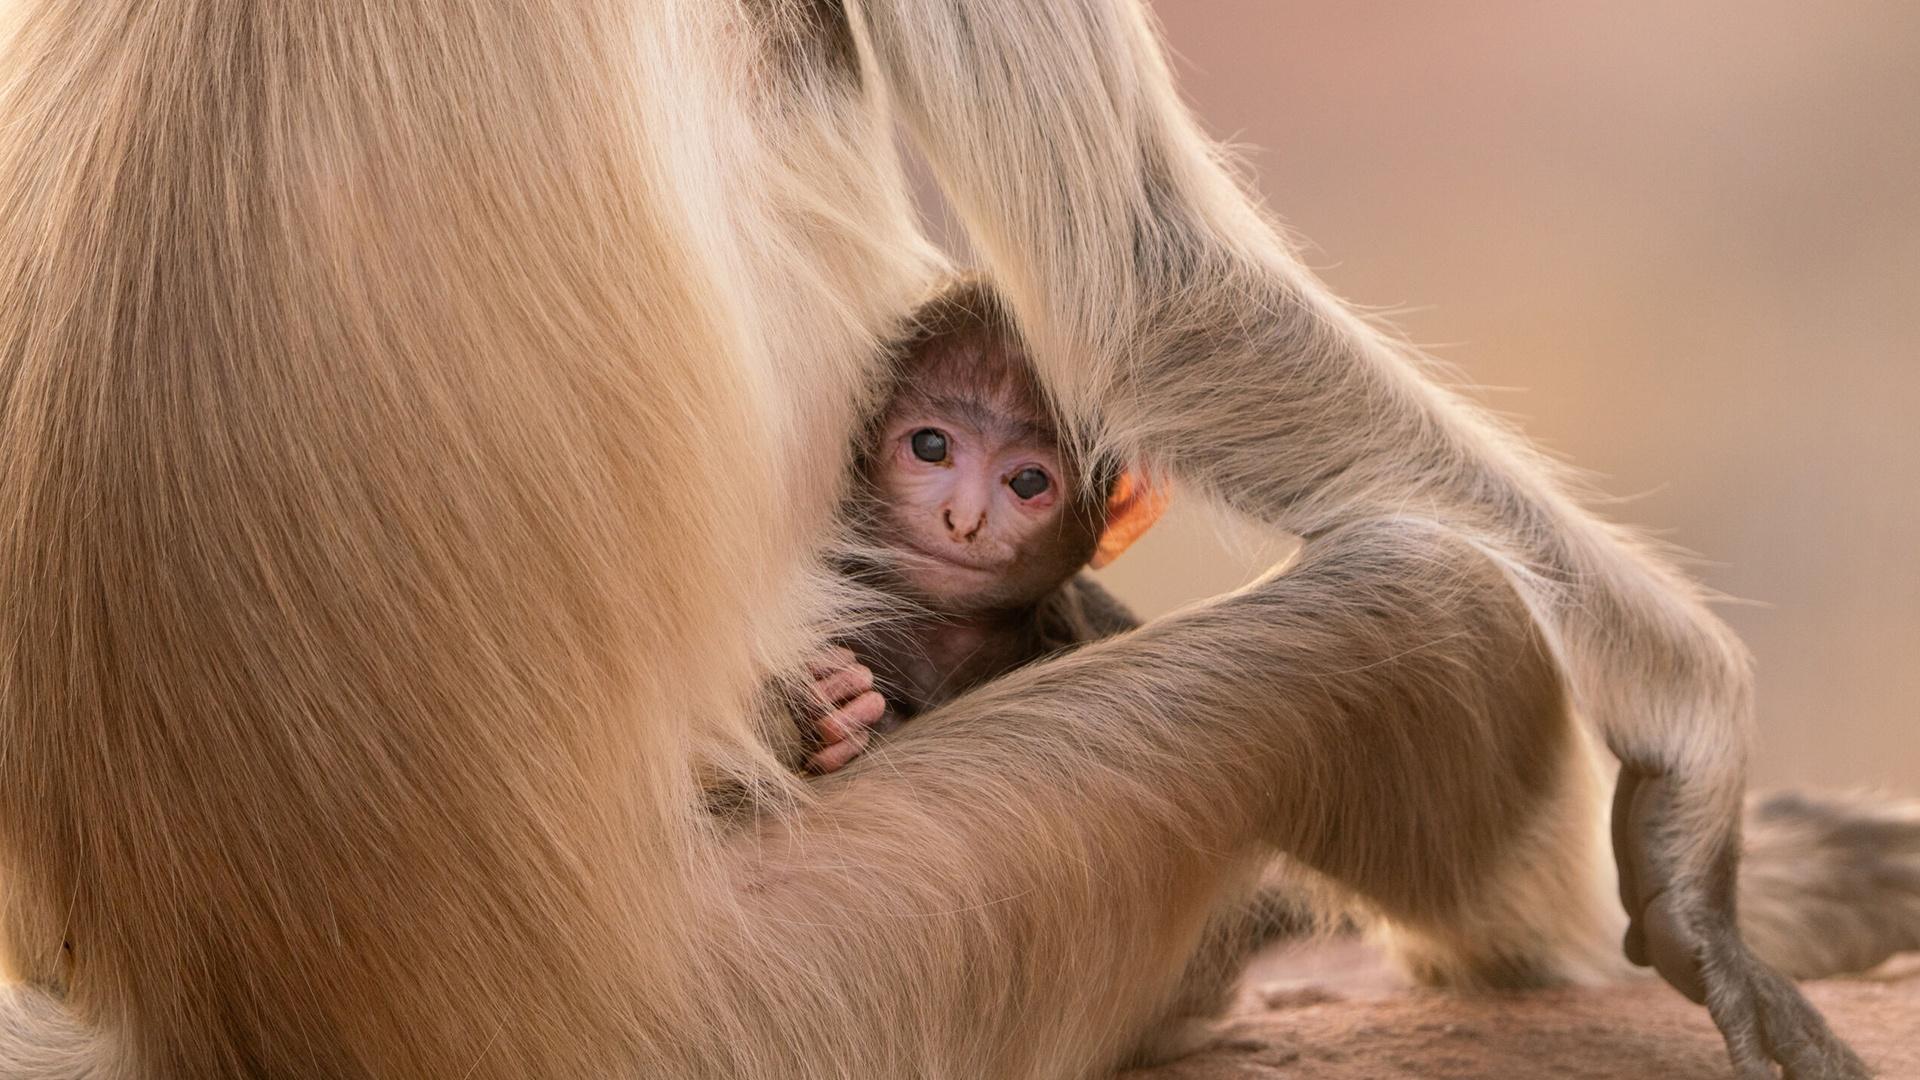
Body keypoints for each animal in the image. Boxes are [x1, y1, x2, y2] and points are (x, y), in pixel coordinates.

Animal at [1, 3, 1916, 1079]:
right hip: (825, 998)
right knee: (1424, 603)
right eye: (935, 449)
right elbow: (1151, 289)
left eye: (1009, 471)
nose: (964, 504)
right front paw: (1703, 808)